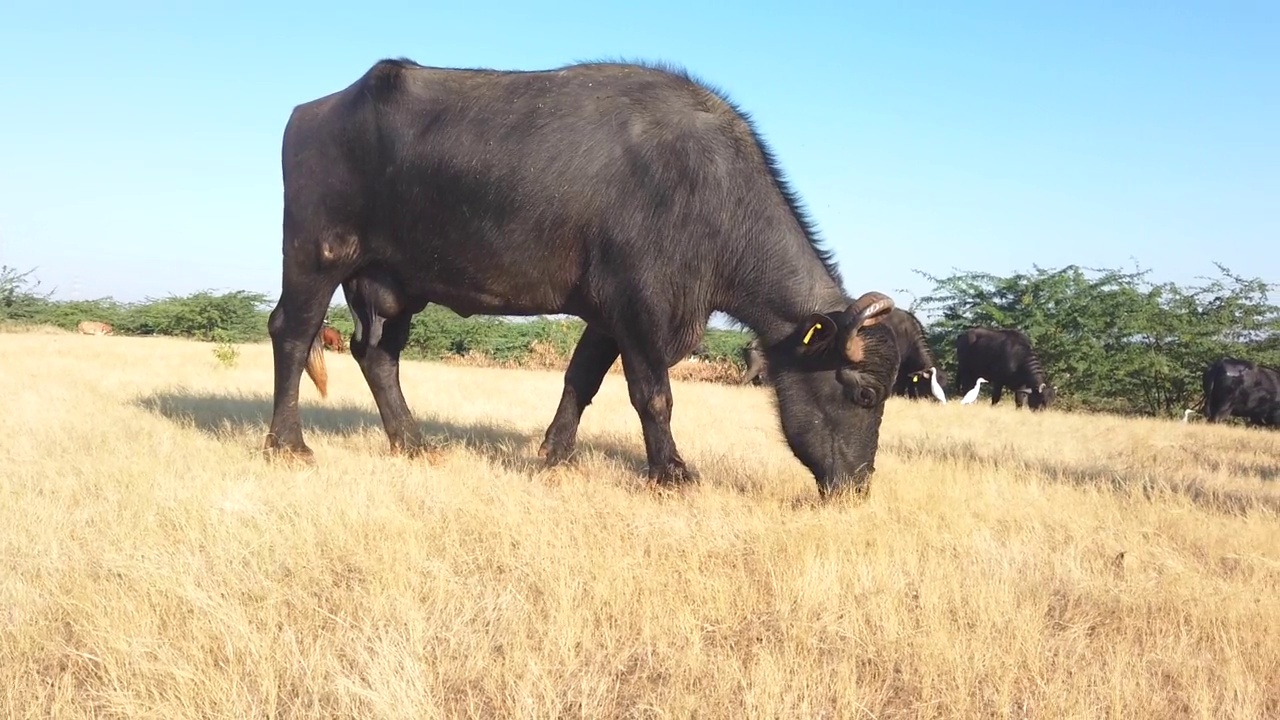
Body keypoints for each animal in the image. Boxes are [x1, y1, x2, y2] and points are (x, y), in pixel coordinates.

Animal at [262, 58, 901, 497]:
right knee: (291, 333)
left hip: (392, 286)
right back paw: (288, 445)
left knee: (377, 355)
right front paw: (671, 471)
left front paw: (553, 453)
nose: (856, 486)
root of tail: (312, 112)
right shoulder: (640, 309)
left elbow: (581, 381)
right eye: (865, 394)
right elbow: (653, 395)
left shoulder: (606, 315)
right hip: (317, 255)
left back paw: (414, 443)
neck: (706, 193)